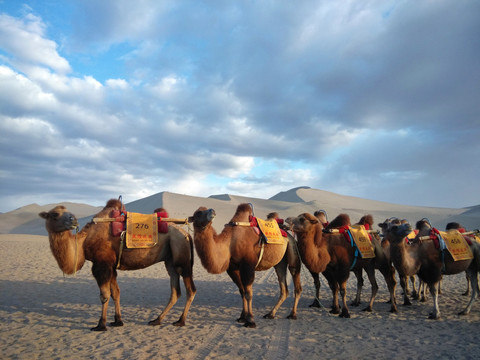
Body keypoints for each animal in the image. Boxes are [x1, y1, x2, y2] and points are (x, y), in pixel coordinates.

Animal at [39, 198, 196, 330]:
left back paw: (181, 321)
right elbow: (116, 293)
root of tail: (187, 234)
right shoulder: (111, 266)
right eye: (54, 214)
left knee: (191, 289)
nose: (74, 219)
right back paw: (156, 320)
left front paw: (100, 325)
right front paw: (117, 321)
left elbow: (104, 295)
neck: (84, 241)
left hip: (181, 256)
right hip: (170, 260)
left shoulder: (101, 265)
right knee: (175, 291)